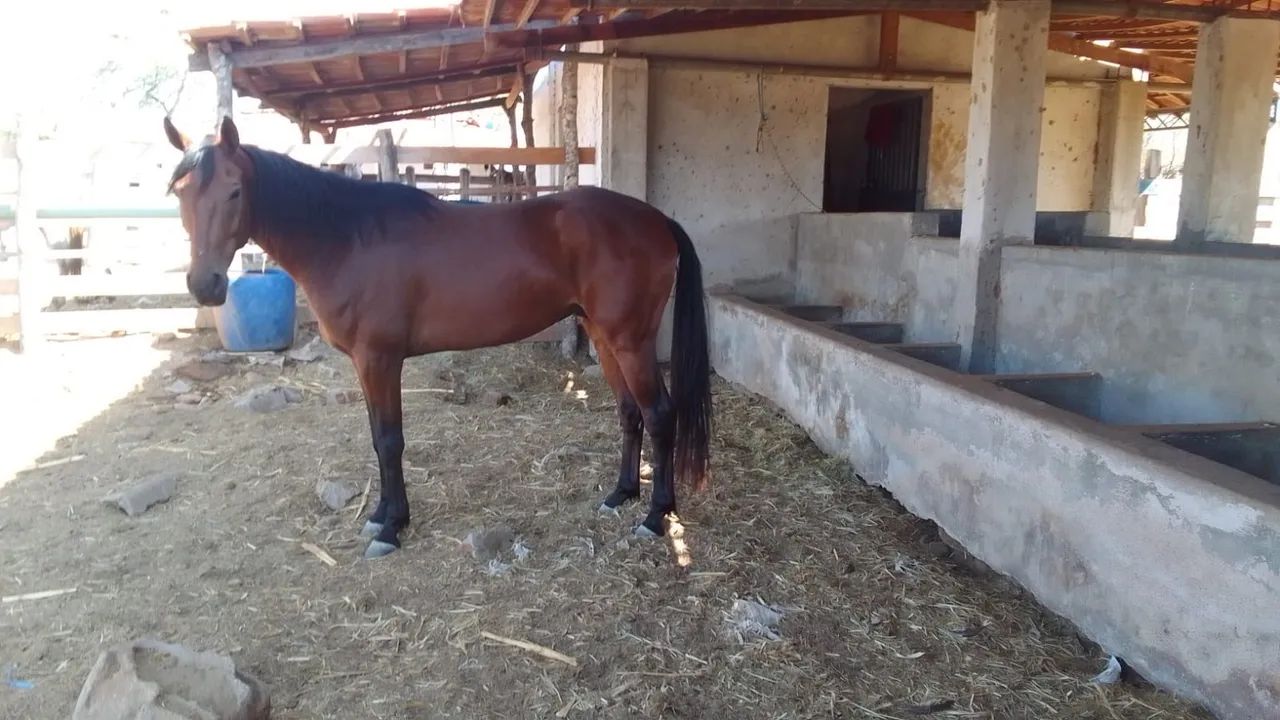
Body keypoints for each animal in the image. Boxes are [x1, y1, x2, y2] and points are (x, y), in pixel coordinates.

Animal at [163, 116, 713, 559]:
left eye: (235, 191)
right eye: (181, 193)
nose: (205, 285)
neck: (348, 239)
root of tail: (656, 220)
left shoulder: (380, 359)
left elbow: (389, 440)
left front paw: (392, 528)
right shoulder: (365, 364)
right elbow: (376, 436)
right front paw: (380, 516)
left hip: (630, 341)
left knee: (660, 415)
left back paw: (655, 517)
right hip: (604, 336)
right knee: (630, 413)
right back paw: (620, 495)